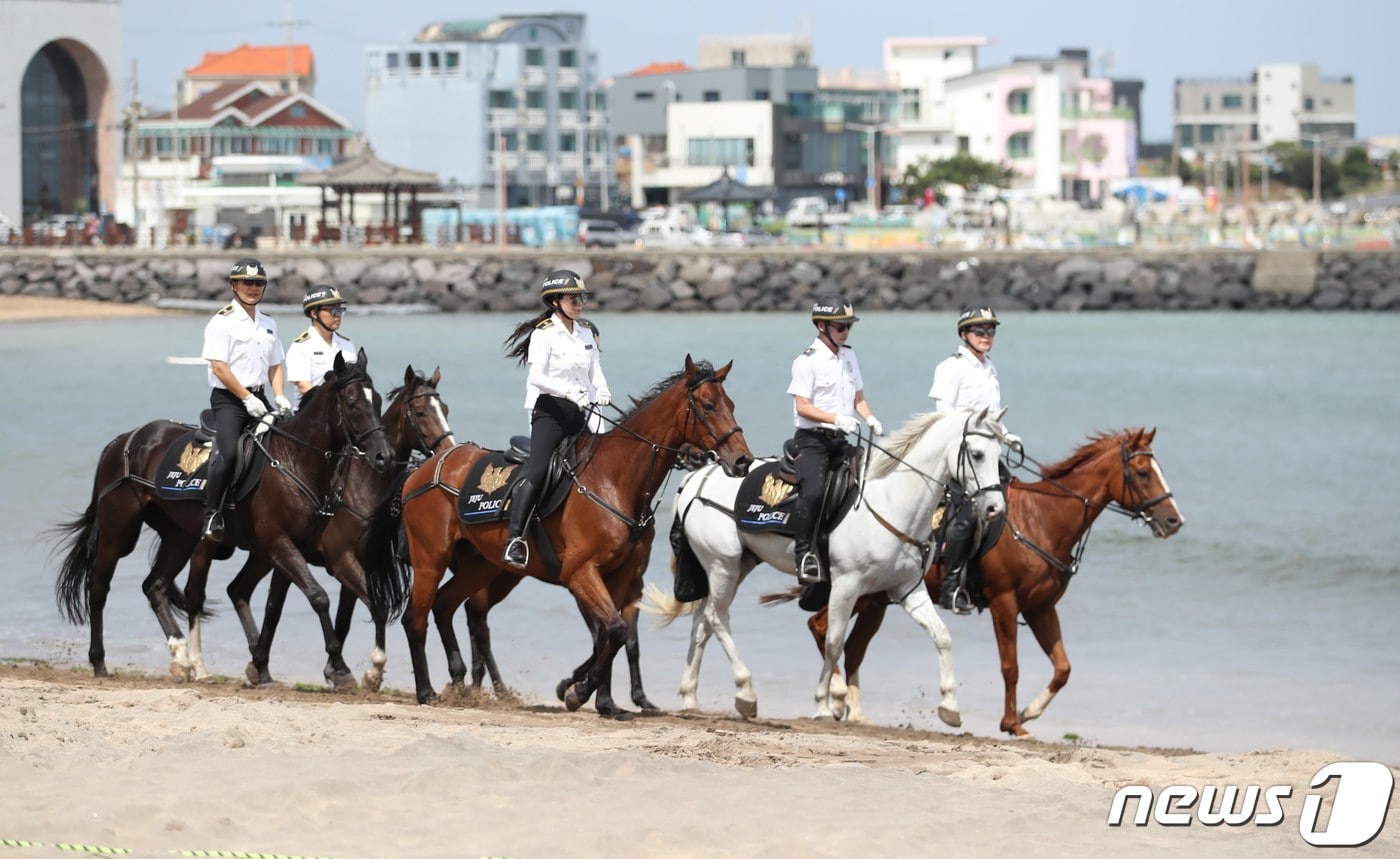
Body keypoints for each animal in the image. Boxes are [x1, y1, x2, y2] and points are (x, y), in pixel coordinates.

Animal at [53, 346, 394, 682]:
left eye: (377, 401)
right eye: (352, 403)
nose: (384, 456)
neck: (294, 461)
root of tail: (124, 439)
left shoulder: (318, 553)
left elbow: (371, 601)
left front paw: (369, 666)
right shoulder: (280, 545)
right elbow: (319, 597)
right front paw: (340, 667)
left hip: (179, 538)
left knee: (155, 586)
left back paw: (182, 659)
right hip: (119, 533)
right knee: (98, 588)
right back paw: (100, 662)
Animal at [177, 366, 456, 691]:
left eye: (445, 409)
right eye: (421, 412)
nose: (449, 450)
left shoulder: (351, 560)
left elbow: (353, 612)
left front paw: (351, 670)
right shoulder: (337, 558)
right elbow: (324, 601)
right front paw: (355, 669)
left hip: (263, 554)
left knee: (238, 590)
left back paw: (255, 663)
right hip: (210, 544)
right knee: (196, 594)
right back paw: (196, 664)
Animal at [394, 356, 756, 713]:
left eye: (732, 405)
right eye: (708, 406)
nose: (743, 460)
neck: (614, 480)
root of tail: (424, 470)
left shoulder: (621, 576)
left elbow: (612, 636)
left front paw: (589, 694)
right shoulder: (579, 573)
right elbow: (613, 631)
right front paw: (580, 692)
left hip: (480, 565)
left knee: (445, 606)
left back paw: (459, 685)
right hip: (431, 559)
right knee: (417, 617)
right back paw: (427, 691)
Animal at [644, 408, 1008, 727]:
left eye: (999, 454)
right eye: (977, 454)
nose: (994, 508)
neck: (891, 502)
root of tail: (696, 478)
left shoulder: (908, 589)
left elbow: (942, 636)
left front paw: (950, 705)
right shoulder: (847, 586)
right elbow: (834, 641)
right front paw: (825, 702)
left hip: (737, 565)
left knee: (702, 622)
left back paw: (690, 695)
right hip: (723, 564)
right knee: (716, 617)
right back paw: (745, 692)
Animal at [778, 428, 1181, 738]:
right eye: (1143, 473)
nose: (1174, 521)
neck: (1040, 520)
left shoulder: (1041, 608)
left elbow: (1062, 668)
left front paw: (1029, 713)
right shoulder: (1005, 603)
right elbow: (1010, 666)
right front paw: (1011, 723)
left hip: (877, 599)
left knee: (853, 646)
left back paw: (853, 709)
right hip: (860, 592)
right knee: (822, 628)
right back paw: (836, 697)